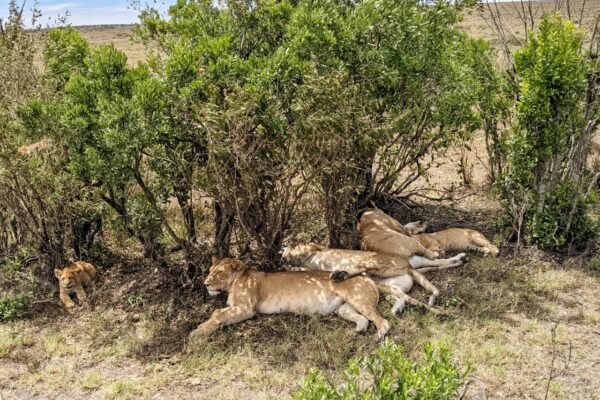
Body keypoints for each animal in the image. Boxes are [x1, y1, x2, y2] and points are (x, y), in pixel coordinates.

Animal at [190, 256, 392, 340]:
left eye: (219, 273)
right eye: (210, 271)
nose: (206, 283)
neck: (234, 282)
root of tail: (367, 278)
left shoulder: (246, 308)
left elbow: (217, 314)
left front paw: (197, 332)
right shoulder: (239, 308)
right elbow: (219, 315)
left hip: (358, 299)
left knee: (382, 321)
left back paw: (378, 337)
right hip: (344, 308)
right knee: (364, 320)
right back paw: (356, 331)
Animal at [280, 242, 464, 314]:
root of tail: (408, 267)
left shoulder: (313, 248)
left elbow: (300, 253)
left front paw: (289, 258)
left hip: (369, 261)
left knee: (361, 268)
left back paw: (340, 274)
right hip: (386, 285)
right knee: (409, 297)